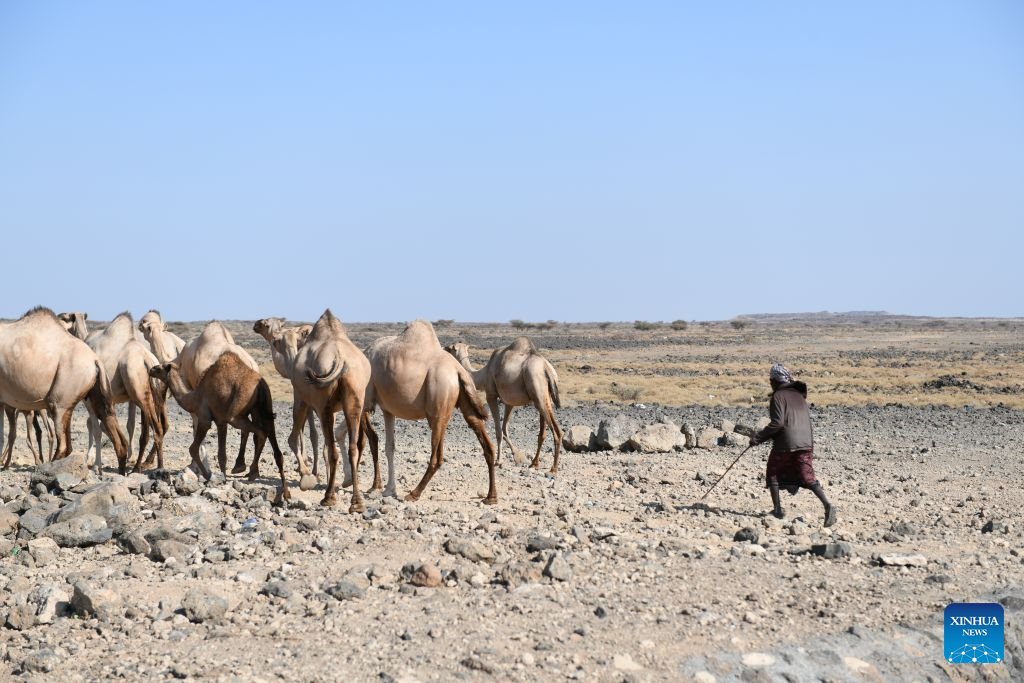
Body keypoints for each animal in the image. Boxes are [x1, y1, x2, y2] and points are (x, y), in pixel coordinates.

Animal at [149, 352, 290, 501]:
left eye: (160, 367)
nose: (151, 370)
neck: (194, 398)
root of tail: (261, 384)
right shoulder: (221, 421)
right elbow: (222, 455)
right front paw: (222, 478)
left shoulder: (205, 418)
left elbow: (194, 448)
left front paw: (209, 476)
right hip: (265, 406)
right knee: (274, 445)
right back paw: (284, 492)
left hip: (237, 412)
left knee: (261, 433)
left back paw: (253, 472)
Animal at [283, 309, 370, 511]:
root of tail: (339, 357)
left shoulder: (301, 398)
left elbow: (293, 438)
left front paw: (306, 476)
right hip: (355, 397)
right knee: (352, 448)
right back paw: (357, 502)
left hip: (323, 405)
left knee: (332, 449)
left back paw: (328, 497)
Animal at [354, 320, 497, 505]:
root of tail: (458, 371)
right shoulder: (387, 409)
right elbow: (389, 446)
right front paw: (388, 489)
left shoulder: (365, 400)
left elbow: (364, 440)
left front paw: (371, 486)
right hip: (461, 402)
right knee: (485, 441)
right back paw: (491, 496)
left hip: (438, 406)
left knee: (436, 457)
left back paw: (414, 493)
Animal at [445, 338, 563, 473]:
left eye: (450, 348)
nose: (443, 349)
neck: (484, 373)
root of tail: (547, 369)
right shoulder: (509, 402)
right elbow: (504, 428)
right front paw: (517, 456)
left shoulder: (491, 395)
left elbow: (498, 430)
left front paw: (499, 461)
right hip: (544, 397)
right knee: (543, 433)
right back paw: (534, 463)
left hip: (538, 393)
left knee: (556, 431)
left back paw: (553, 468)